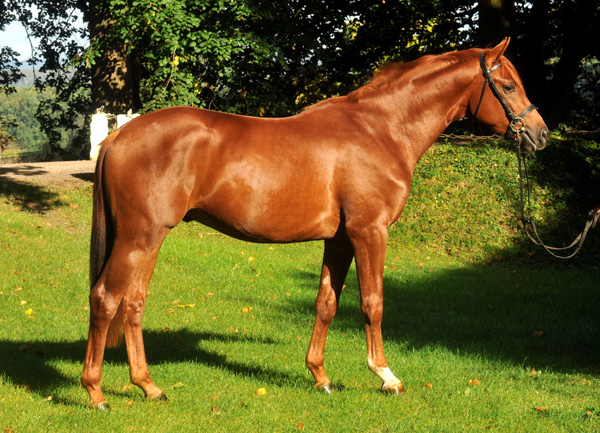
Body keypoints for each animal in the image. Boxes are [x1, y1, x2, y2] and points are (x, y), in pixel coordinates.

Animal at [83, 38, 548, 408]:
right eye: (507, 85)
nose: (540, 134)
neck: (380, 131)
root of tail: (117, 136)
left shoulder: (339, 240)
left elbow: (327, 303)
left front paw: (320, 376)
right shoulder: (369, 232)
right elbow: (373, 303)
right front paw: (386, 376)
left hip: (151, 238)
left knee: (132, 303)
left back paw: (149, 387)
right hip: (138, 238)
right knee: (105, 299)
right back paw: (96, 393)